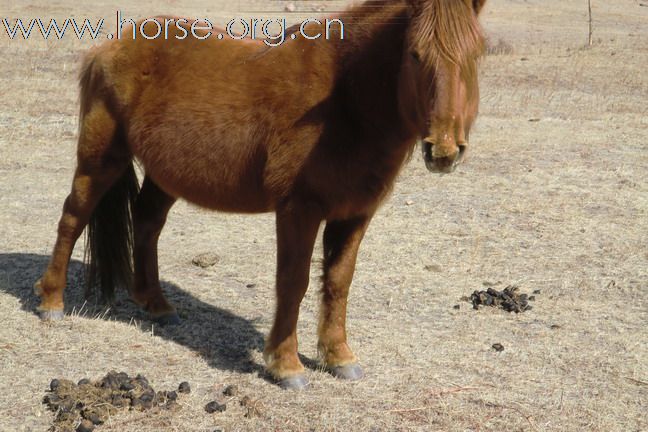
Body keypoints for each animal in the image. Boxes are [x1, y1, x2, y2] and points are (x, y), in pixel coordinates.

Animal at [33, 0, 484, 390]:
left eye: (478, 55)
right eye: (415, 55)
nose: (444, 150)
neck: (343, 100)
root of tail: (109, 46)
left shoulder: (355, 214)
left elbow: (339, 282)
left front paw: (339, 357)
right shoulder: (299, 210)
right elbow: (294, 282)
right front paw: (286, 366)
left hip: (165, 175)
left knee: (146, 224)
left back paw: (156, 304)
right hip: (100, 158)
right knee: (73, 217)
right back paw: (52, 301)